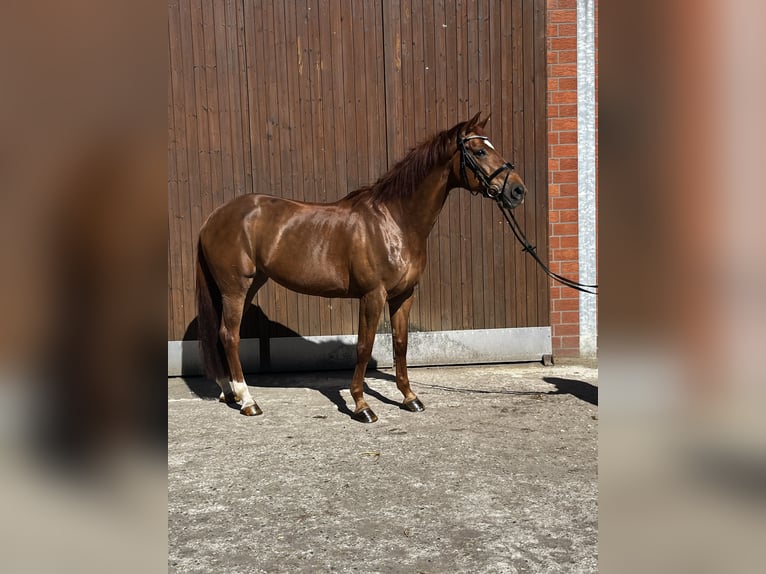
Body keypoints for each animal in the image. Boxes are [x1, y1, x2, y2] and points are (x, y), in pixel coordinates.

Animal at [195, 112, 527, 422]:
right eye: (479, 151)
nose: (517, 191)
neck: (395, 221)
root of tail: (213, 217)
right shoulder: (372, 295)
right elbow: (364, 347)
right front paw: (361, 405)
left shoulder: (404, 295)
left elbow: (400, 344)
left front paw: (409, 398)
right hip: (235, 288)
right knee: (229, 335)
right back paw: (248, 401)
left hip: (250, 285)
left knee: (221, 334)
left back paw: (229, 392)